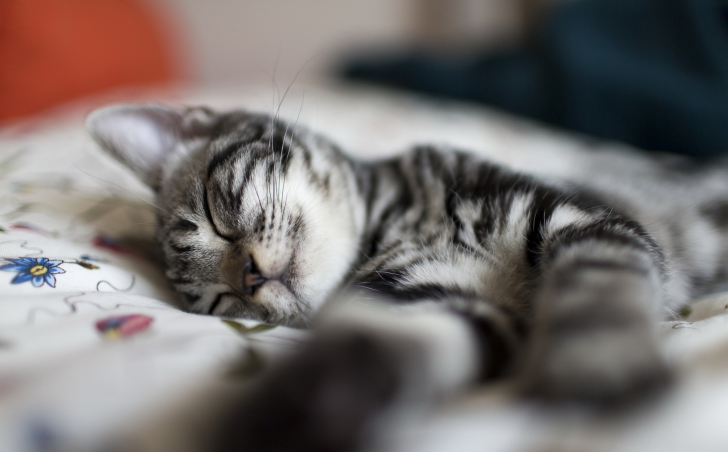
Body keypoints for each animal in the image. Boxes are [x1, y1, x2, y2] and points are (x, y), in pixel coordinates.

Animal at [85, 103, 724, 452]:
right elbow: (384, 345)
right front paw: (294, 411)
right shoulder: (439, 301)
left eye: (216, 216)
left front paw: (600, 368)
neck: (396, 224)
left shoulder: (584, 222)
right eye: (222, 304)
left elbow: (598, 287)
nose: (249, 277)